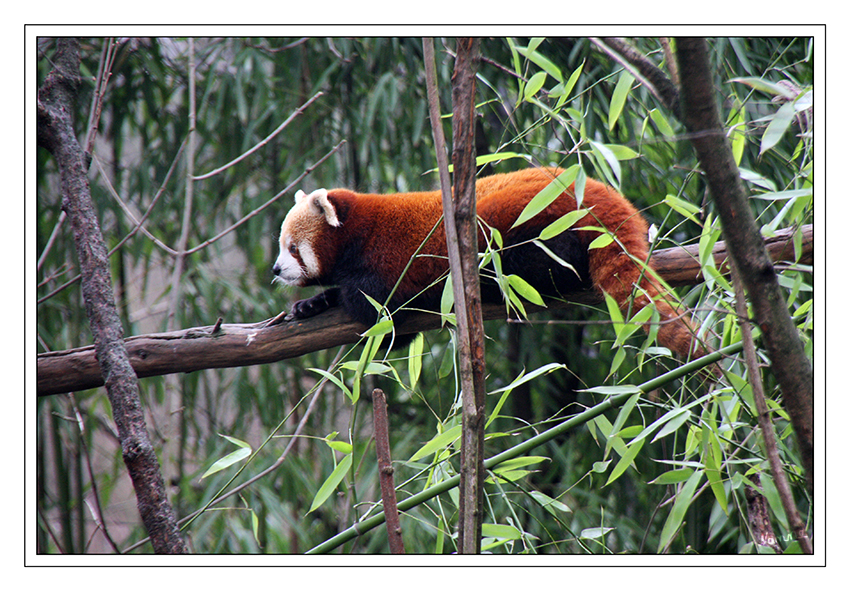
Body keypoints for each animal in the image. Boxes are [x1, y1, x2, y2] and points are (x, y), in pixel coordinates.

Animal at [274, 166, 708, 360]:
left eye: (292, 247)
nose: (277, 270)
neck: (360, 229)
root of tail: (598, 191)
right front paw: (312, 304)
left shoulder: (389, 261)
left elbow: (383, 317)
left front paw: (338, 299)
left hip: (526, 223)